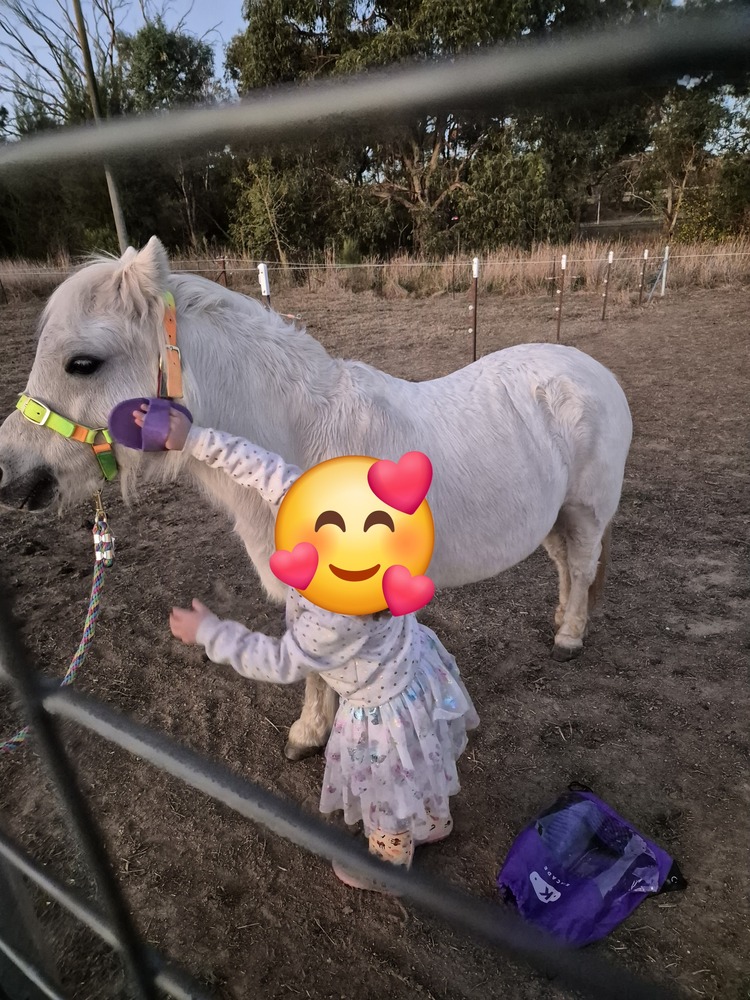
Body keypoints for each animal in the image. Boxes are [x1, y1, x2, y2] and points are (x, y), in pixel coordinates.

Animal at [0, 237, 633, 759]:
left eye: (83, 363)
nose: (11, 478)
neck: (301, 436)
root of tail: (591, 369)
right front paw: (312, 731)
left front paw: (313, 733)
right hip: (554, 516)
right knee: (566, 566)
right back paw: (560, 618)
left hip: (586, 509)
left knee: (582, 564)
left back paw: (569, 637)